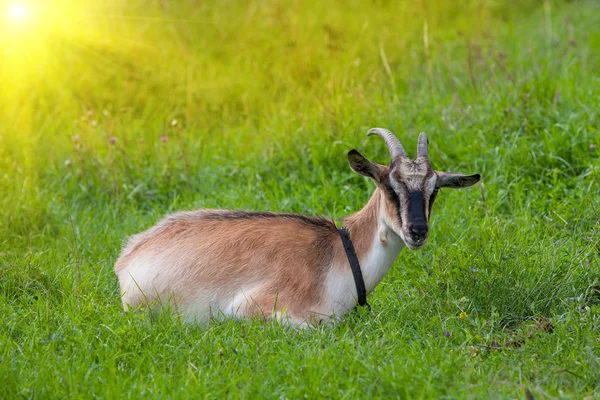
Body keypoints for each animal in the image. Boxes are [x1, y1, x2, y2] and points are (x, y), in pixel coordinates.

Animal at [115, 130, 480, 326]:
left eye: (434, 190)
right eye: (389, 186)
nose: (417, 231)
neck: (340, 255)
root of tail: (128, 255)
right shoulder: (252, 306)